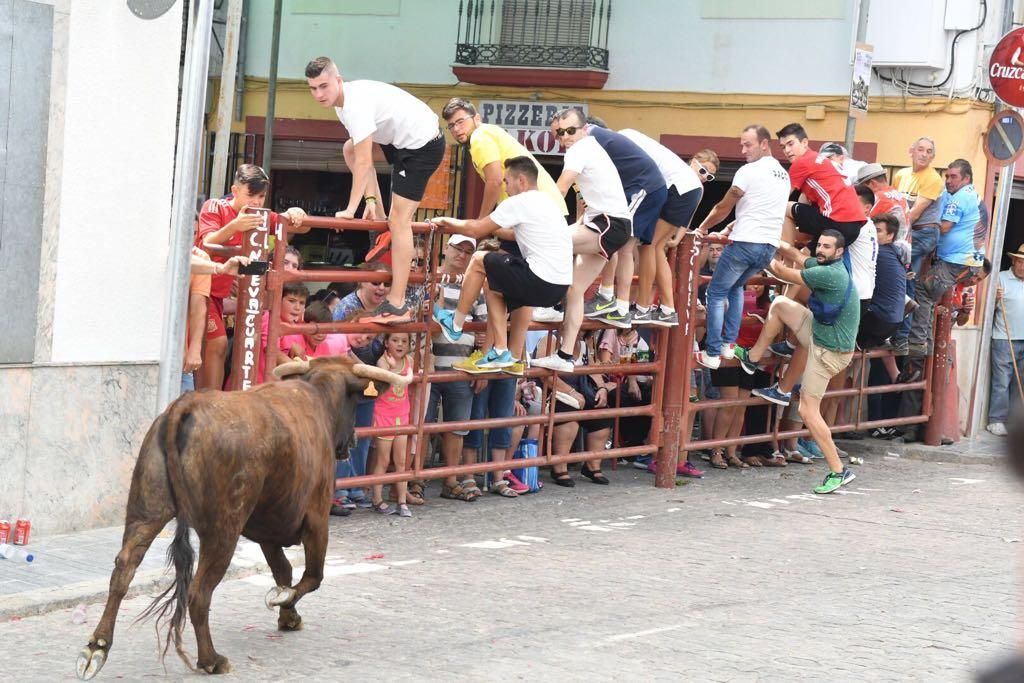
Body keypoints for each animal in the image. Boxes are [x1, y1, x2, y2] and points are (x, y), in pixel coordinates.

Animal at [75, 358, 407, 679]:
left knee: (123, 571)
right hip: (223, 530)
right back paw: (211, 660)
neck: (317, 398)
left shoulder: (269, 527)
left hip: (146, 512)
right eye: (356, 403)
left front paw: (288, 616)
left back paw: (97, 648)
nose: (352, 440)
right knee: (199, 593)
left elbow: (283, 570)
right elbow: (311, 577)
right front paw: (281, 599)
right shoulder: (316, 518)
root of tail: (187, 405)